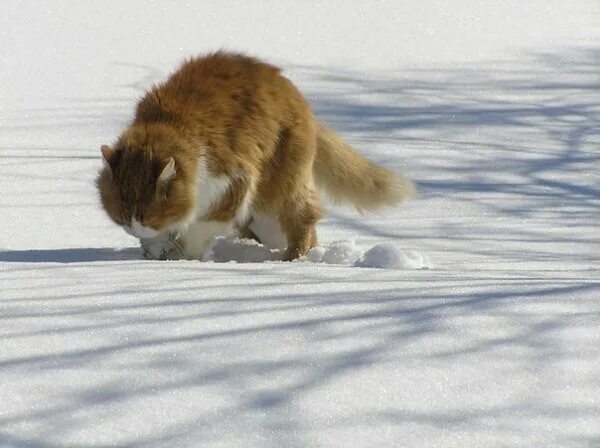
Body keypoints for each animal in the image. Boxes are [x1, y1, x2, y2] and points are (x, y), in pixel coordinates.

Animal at [98, 51, 414, 262]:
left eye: (146, 215)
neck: (169, 125)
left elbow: (201, 228)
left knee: (303, 218)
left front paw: (186, 255)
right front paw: (159, 250)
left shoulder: (234, 178)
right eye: (122, 215)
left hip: (280, 185)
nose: (134, 227)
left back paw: (295, 259)